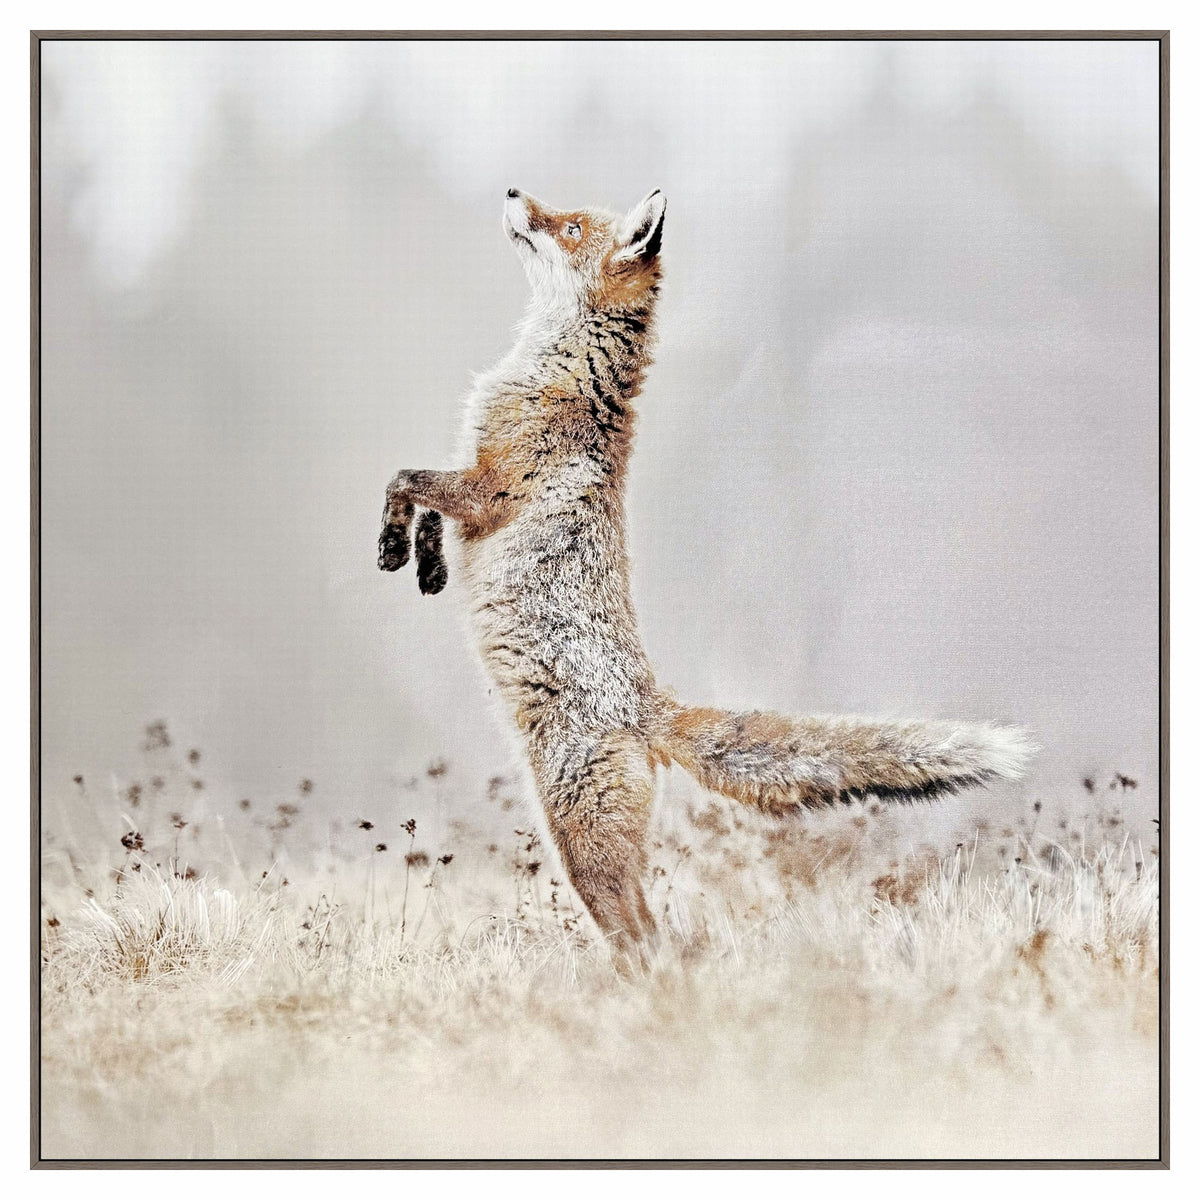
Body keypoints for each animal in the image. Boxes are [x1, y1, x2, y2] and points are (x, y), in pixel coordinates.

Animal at [378, 187, 1035, 953]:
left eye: (569, 226)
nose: (512, 191)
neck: (557, 371)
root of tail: (647, 705)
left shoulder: (489, 489)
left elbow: (405, 480)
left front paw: (392, 545)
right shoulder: (471, 487)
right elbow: (427, 509)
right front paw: (424, 564)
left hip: (579, 842)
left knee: (644, 936)